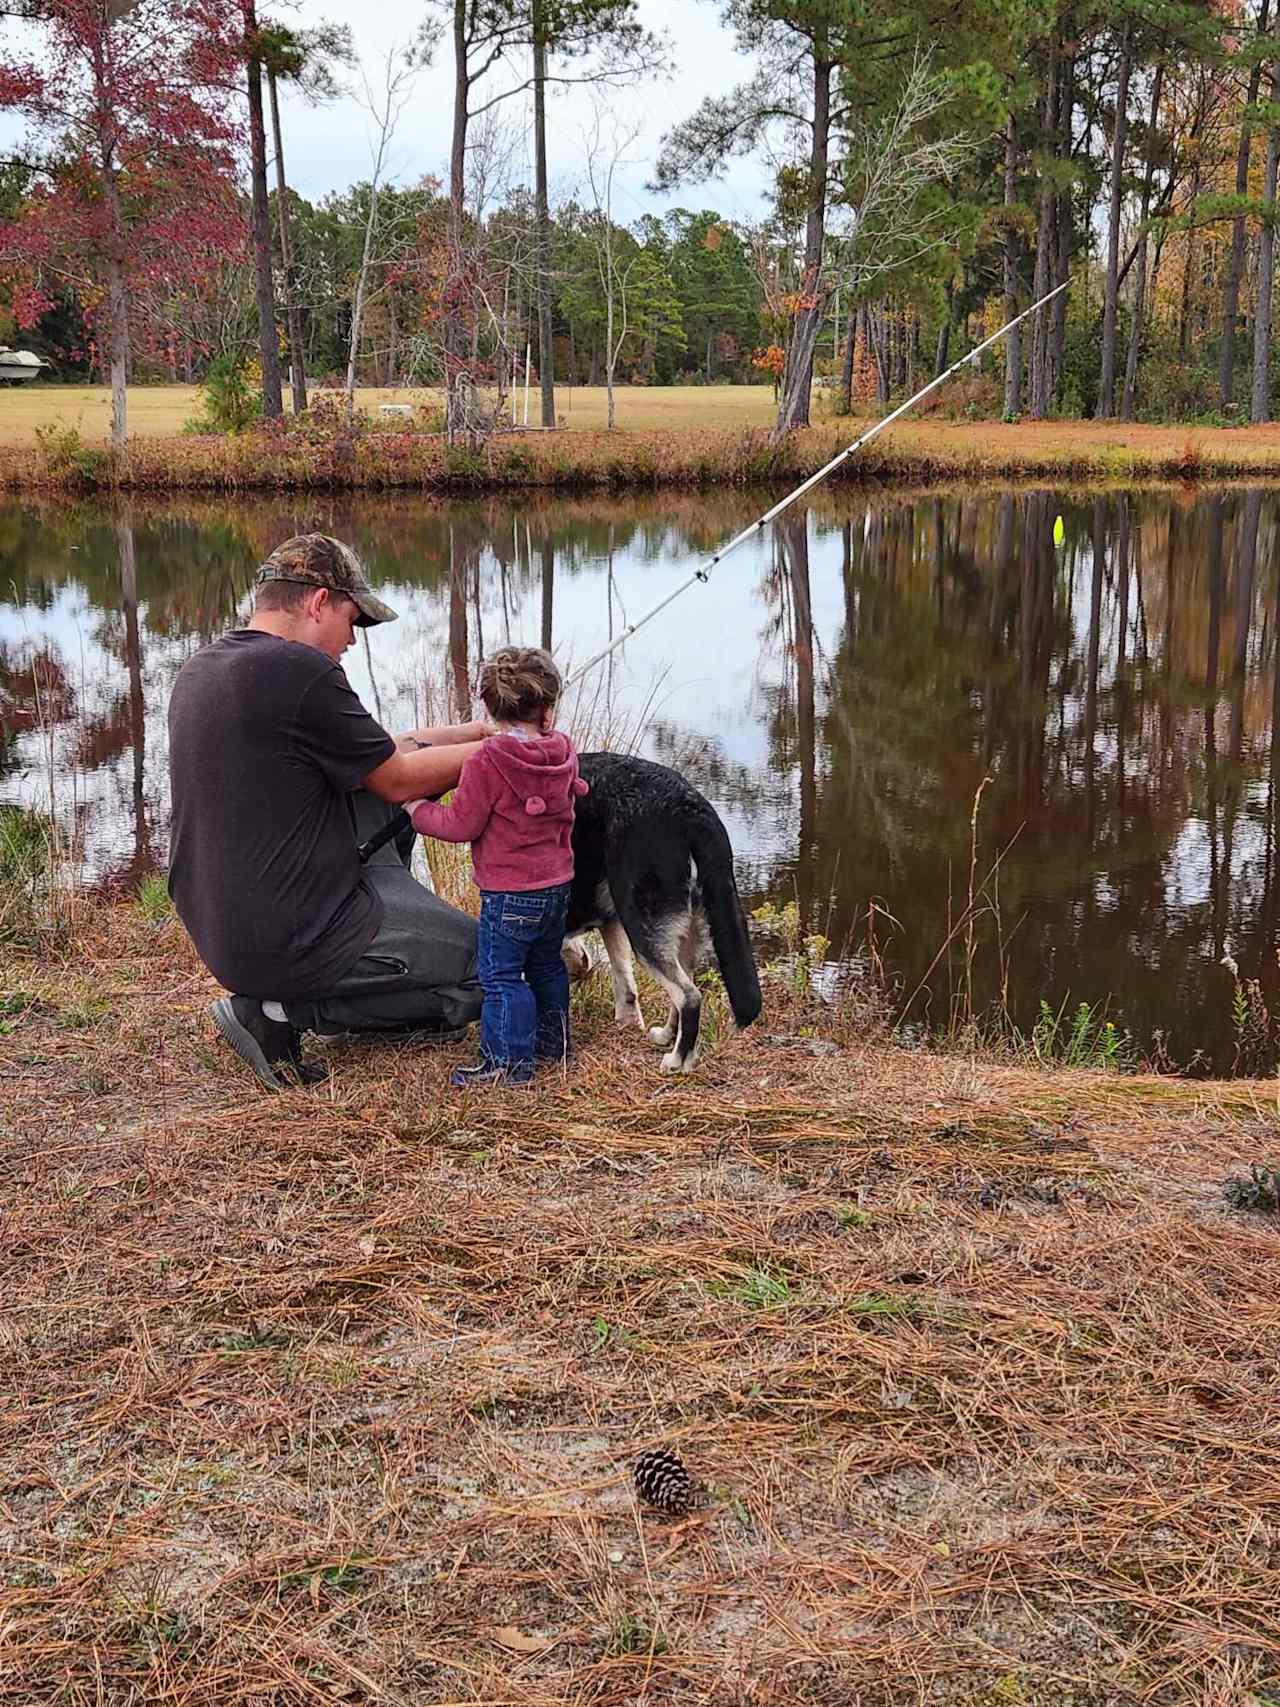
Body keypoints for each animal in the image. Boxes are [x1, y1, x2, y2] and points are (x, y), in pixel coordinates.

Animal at [570, 751, 761, 1065]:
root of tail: (692, 808)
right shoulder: (610, 921)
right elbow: (625, 987)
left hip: (642, 926)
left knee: (689, 996)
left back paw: (677, 1061)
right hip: (681, 927)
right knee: (683, 987)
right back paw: (668, 1037)